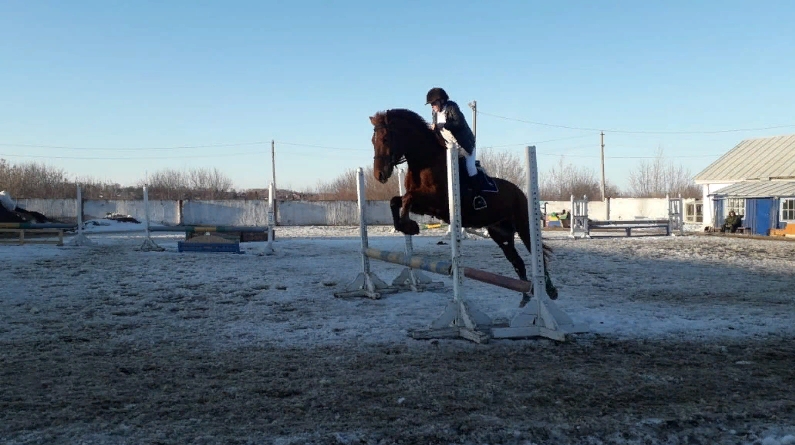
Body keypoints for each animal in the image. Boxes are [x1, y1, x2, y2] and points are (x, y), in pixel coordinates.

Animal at [368, 108, 558, 306]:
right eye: (373, 141)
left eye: (385, 139)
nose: (379, 175)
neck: (426, 161)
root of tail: (520, 192)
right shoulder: (425, 206)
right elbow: (396, 201)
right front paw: (405, 226)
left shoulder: (437, 202)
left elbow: (407, 199)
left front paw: (410, 226)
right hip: (501, 234)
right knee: (517, 261)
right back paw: (526, 295)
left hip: (524, 226)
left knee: (538, 255)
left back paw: (549, 290)